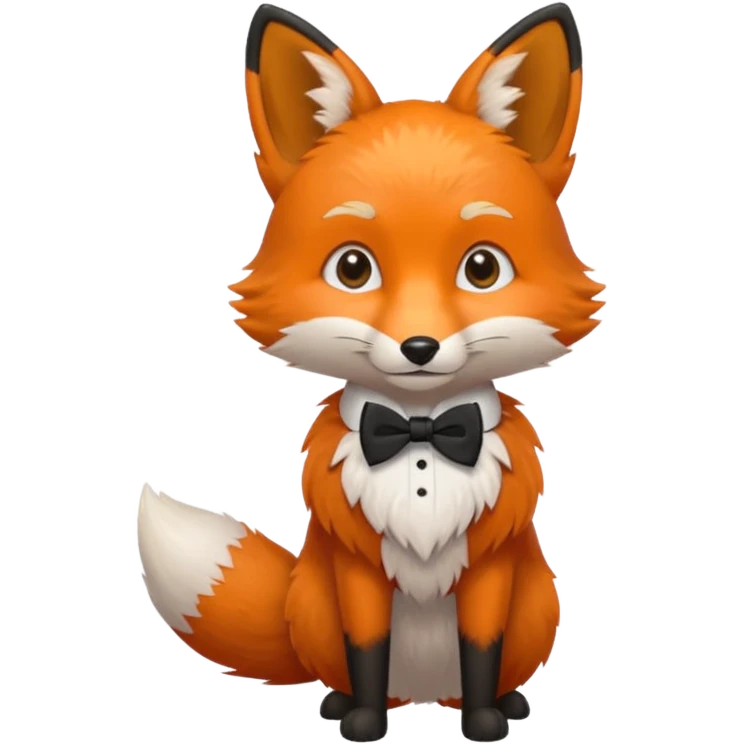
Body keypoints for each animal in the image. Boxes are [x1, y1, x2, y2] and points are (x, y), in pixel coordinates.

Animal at [137, 3, 602, 742]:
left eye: (482, 268)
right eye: (353, 268)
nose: (420, 346)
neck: (420, 432)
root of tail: (425, 696)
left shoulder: (491, 572)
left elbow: (481, 650)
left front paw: (484, 722)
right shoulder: (356, 572)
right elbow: (367, 648)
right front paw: (361, 721)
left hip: (539, 606)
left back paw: (505, 703)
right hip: (316, 606)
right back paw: (348, 702)